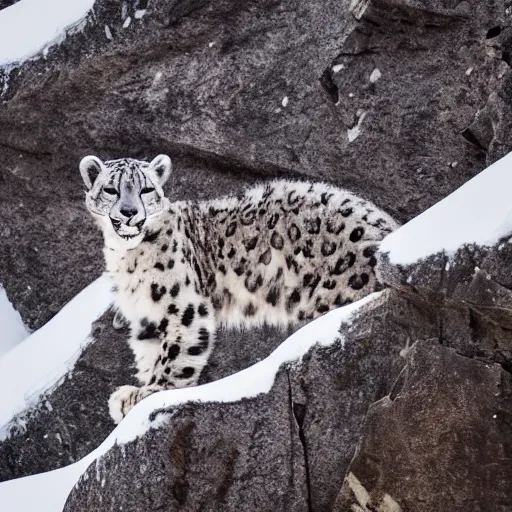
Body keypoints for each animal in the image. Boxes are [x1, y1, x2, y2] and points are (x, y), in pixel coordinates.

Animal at [81, 154, 400, 422]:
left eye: (146, 189)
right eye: (111, 190)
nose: (130, 211)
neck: (127, 257)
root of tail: (389, 228)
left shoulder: (183, 303)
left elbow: (177, 353)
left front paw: (147, 393)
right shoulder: (147, 316)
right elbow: (151, 353)